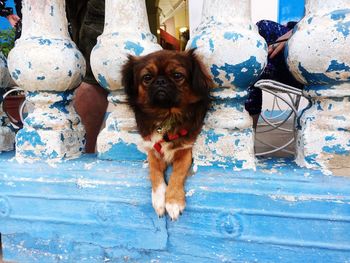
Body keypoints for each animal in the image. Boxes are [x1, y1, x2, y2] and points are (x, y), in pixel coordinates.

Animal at [121, 49, 212, 221]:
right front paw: (159, 200)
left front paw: (173, 202)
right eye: (147, 77)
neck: (166, 115)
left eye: (177, 75)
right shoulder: (153, 151)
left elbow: (177, 174)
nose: (161, 81)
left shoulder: (185, 152)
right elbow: (154, 174)